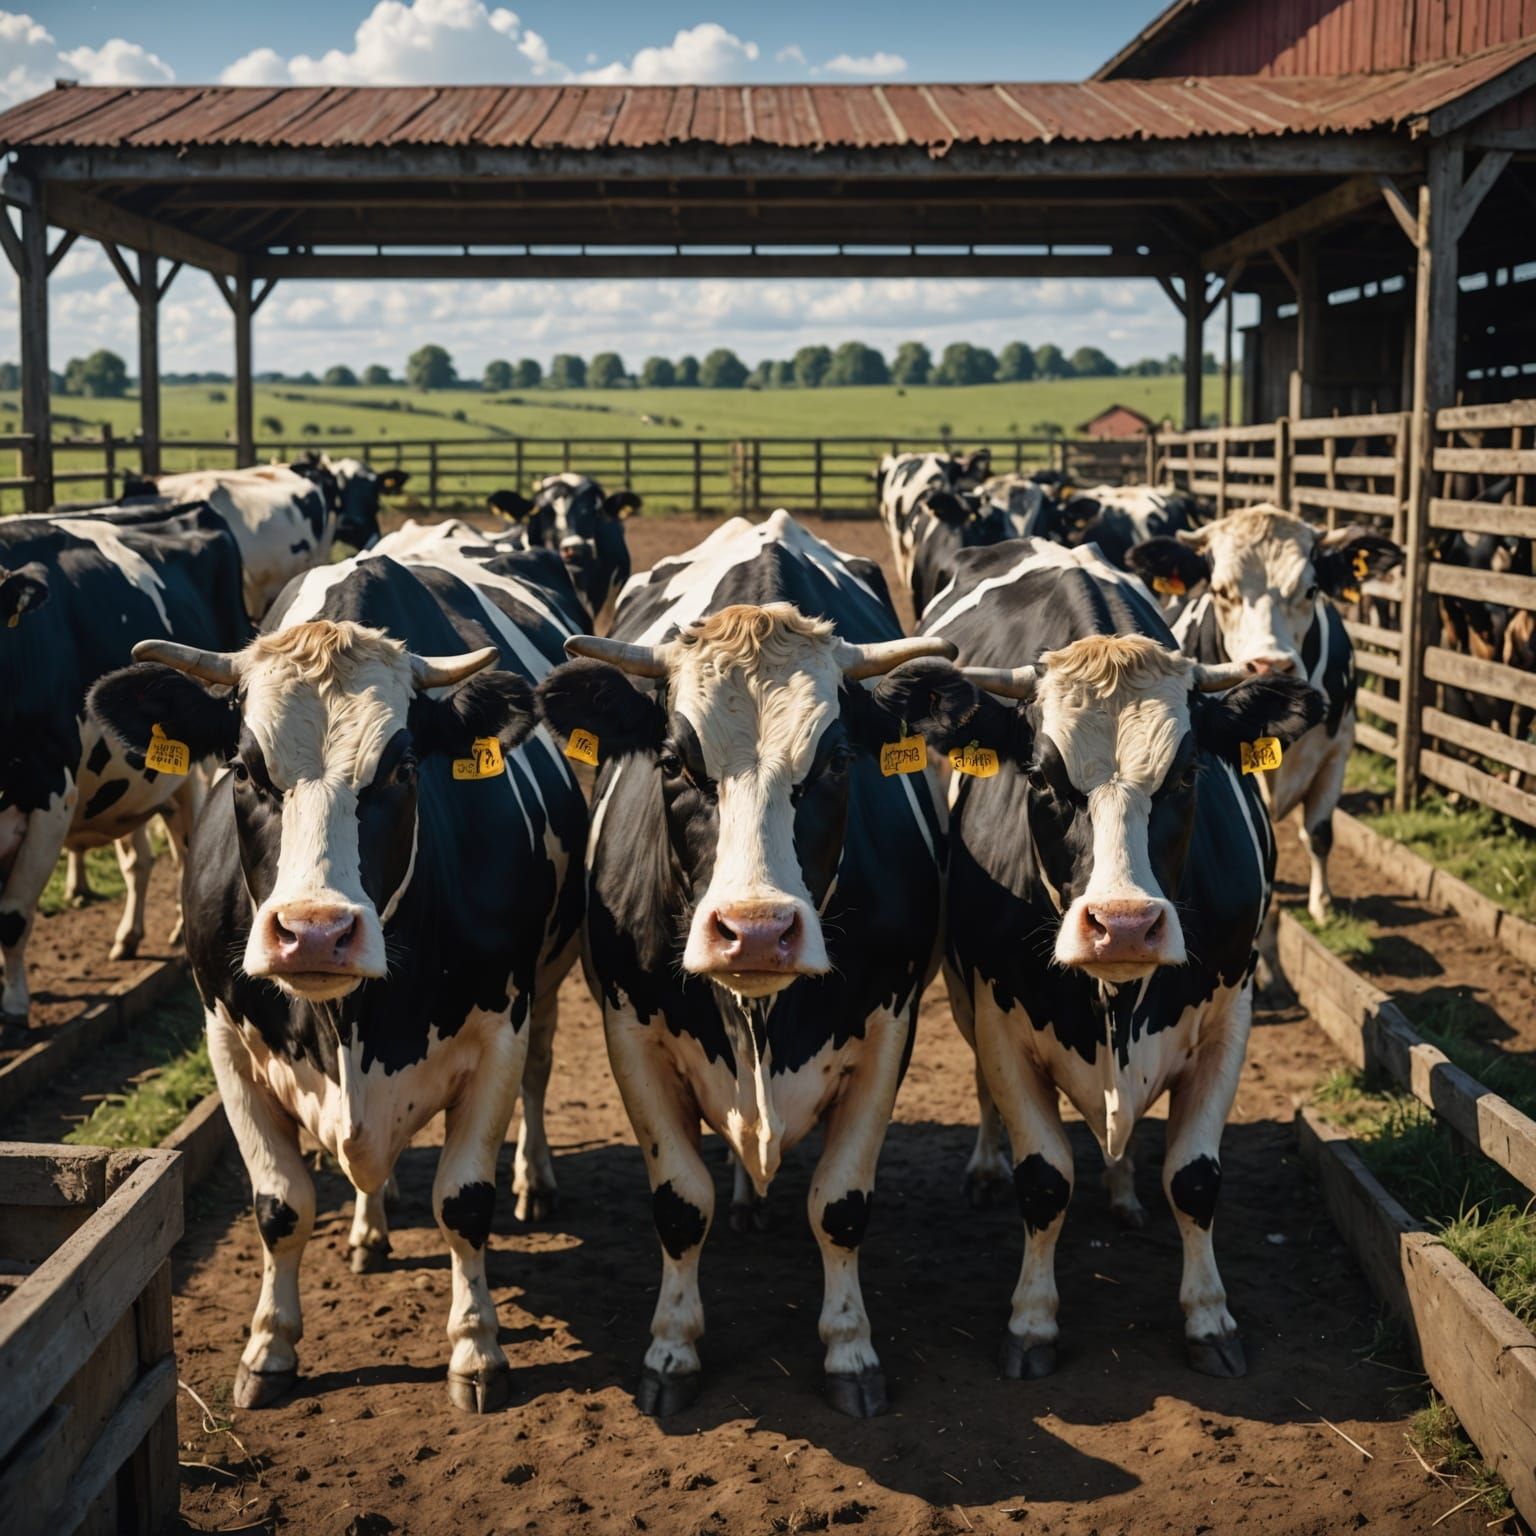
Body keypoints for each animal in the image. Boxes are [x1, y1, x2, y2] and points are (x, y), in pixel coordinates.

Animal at [0, 502, 249, 1027]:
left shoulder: (51, 790)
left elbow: (12, 916)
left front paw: (12, 1007)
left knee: (184, 847)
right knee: (142, 859)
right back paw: (130, 937)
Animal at [87, 533, 589, 1414]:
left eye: (401, 769)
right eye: (245, 770)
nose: (315, 933)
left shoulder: (501, 1026)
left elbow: (465, 1200)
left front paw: (476, 1348)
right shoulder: (227, 1042)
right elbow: (280, 1204)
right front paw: (269, 1348)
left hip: (548, 982)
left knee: (539, 1074)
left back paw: (535, 1180)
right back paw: (368, 1229)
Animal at [534, 509, 951, 1419]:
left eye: (836, 762)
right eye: (675, 763)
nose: (756, 933)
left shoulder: (890, 1028)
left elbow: (841, 1203)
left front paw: (850, 1350)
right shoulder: (629, 1031)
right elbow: (678, 1202)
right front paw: (671, 1348)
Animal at [874, 537, 1321, 1380]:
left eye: (1187, 773)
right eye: (1043, 777)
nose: (1124, 926)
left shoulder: (1230, 1014)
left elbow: (1196, 1178)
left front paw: (1209, 1317)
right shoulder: (1000, 1015)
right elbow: (1044, 1178)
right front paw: (1032, 1321)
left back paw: (1122, 1186)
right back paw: (986, 1167)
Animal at [1128, 507, 1400, 943]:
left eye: (1310, 590)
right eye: (1222, 591)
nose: (1270, 664)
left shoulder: (1337, 752)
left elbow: (1320, 832)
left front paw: (1322, 905)